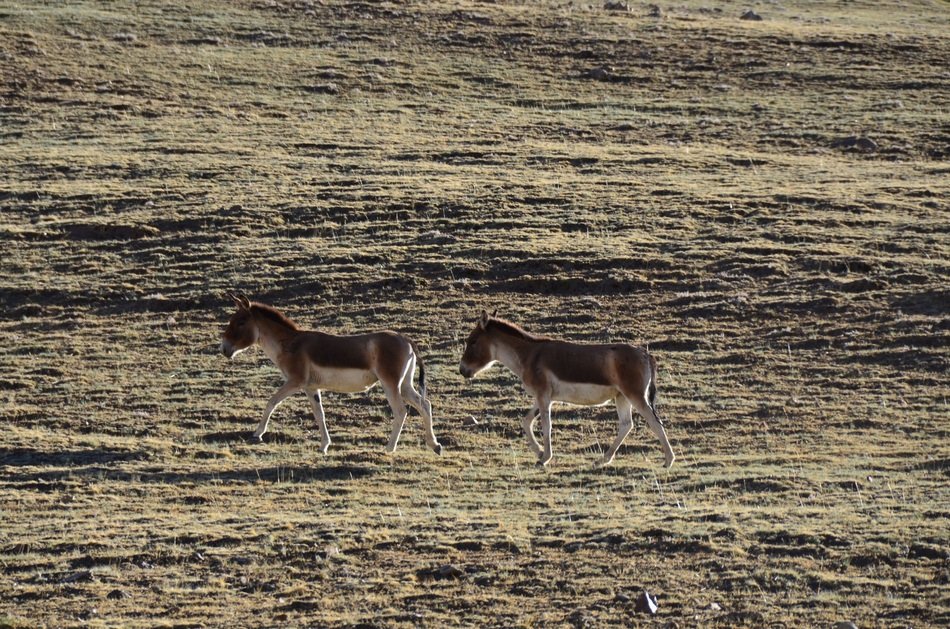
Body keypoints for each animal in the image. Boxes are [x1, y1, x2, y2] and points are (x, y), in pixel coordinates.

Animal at [220, 293, 442, 455]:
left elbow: (271, 401)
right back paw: (435, 445)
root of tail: (405, 338)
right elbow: (320, 414)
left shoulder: (295, 382)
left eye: (240, 322)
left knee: (401, 411)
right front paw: (324, 446)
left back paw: (389, 448)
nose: (224, 349)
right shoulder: (311, 388)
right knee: (424, 404)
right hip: (404, 385)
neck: (291, 344)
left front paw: (257, 434)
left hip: (390, 384)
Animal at [459, 310, 674, 468]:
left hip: (635, 395)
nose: (462, 370)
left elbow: (546, 426)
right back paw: (602, 460)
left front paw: (545, 458)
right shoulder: (543, 397)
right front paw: (539, 453)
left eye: (473, 341)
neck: (530, 355)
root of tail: (645, 354)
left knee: (655, 423)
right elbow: (526, 422)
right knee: (626, 425)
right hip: (622, 397)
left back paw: (668, 460)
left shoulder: (543, 396)